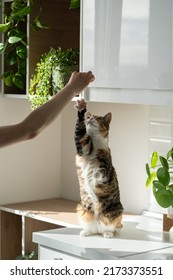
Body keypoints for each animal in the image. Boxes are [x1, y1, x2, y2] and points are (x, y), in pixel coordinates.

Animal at [74, 99, 123, 237]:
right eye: (88, 117)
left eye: (98, 118)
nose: (89, 118)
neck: (94, 143)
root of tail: (97, 226)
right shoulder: (82, 146)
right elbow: (79, 133)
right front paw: (81, 108)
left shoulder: (104, 166)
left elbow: (101, 175)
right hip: (82, 208)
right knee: (91, 228)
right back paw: (85, 232)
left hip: (115, 212)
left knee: (111, 228)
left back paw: (108, 234)